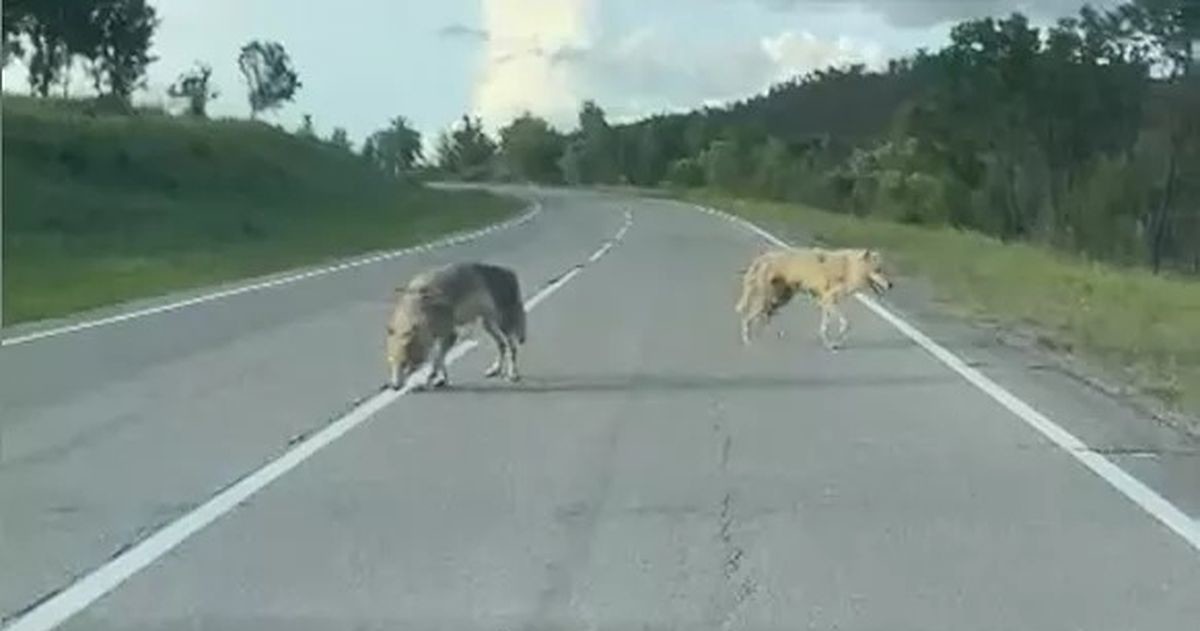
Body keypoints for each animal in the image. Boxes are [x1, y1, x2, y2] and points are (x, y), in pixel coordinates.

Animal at [386, 262, 526, 390]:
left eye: (404, 364)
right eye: (392, 362)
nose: (394, 387)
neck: (420, 308)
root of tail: (510, 272)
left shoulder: (450, 335)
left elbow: (437, 360)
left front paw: (432, 377)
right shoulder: (439, 337)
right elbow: (440, 359)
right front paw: (441, 379)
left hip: (503, 325)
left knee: (512, 347)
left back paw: (513, 374)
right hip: (487, 324)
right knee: (502, 345)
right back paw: (495, 369)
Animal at [735, 247, 893, 349]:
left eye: (884, 270)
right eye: (878, 270)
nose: (891, 285)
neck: (850, 268)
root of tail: (764, 257)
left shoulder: (826, 302)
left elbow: (825, 327)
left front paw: (830, 344)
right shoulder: (829, 301)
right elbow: (845, 323)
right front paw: (835, 343)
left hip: (779, 300)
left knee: (759, 316)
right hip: (769, 299)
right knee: (748, 318)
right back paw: (748, 341)